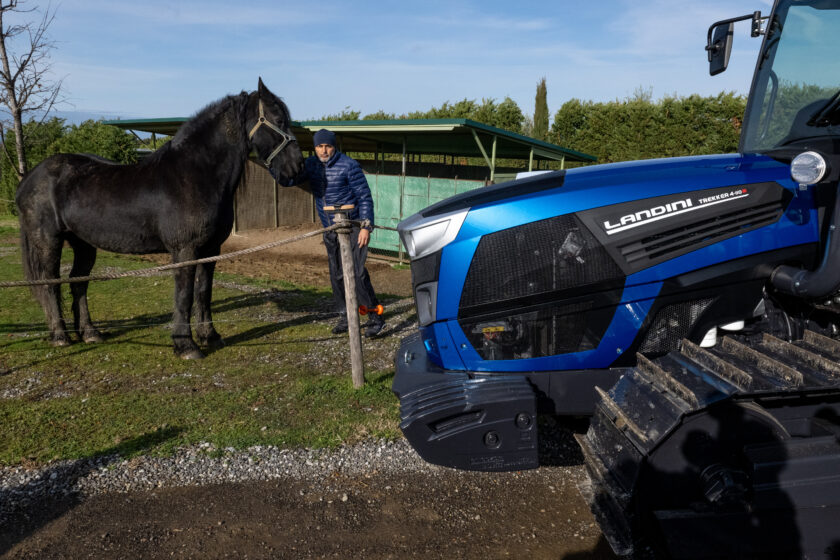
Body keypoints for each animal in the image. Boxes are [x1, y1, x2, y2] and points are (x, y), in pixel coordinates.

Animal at [14, 77, 304, 358]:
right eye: (278, 120)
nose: (297, 166)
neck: (194, 175)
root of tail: (29, 179)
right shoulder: (184, 250)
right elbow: (184, 295)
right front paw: (186, 346)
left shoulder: (210, 250)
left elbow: (204, 292)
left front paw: (210, 336)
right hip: (48, 243)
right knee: (50, 284)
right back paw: (60, 337)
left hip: (83, 244)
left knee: (78, 283)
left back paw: (90, 333)